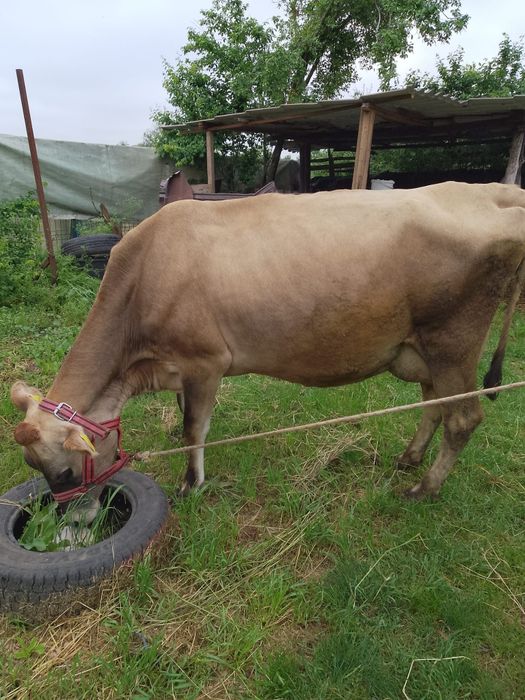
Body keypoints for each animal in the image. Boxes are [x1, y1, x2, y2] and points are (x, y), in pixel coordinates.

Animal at [10, 182, 525, 508]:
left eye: (62, 473)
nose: (67, 512)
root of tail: (495, 194)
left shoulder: (205, 361)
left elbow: (195, 428)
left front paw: (191, 484)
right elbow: (185, 417)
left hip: (453, 339)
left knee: (463, 418)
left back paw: (424, 490)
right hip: (424, 347)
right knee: (434, 403)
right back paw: (409, 459)